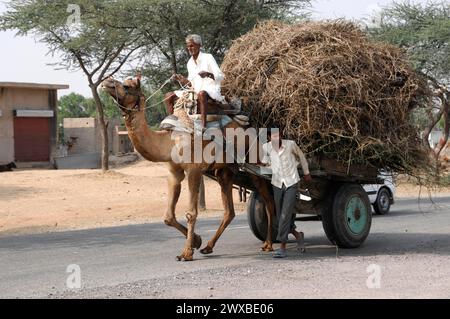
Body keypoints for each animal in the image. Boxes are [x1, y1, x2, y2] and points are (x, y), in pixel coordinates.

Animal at [102, 76, 276, 262]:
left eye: (127, 86)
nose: (106, 82)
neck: (170, 141)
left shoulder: (194, 169)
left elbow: (191, 213)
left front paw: (186, 252)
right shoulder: (174, 173)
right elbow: (168, 217)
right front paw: (197, 241)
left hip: (255, 159)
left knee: (268, 199)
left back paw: (268, 243)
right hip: (225, 171)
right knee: (230, 211)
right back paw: (208, 247)